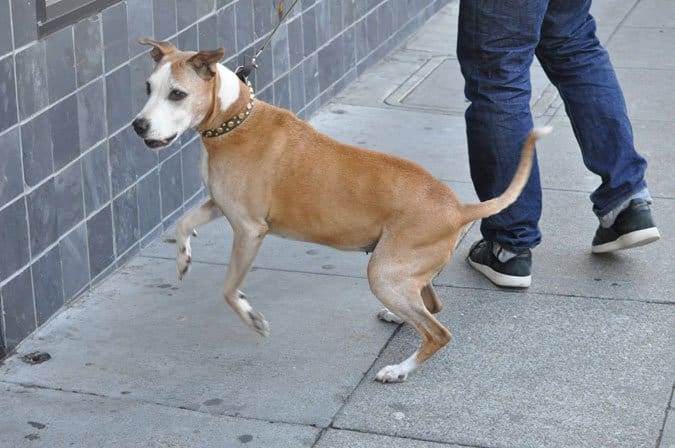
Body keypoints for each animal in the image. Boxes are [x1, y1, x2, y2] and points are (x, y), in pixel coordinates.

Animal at [133, 36, 556, 384]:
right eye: (149, 88)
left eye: (177, 94)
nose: (138, 126)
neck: (232, 118)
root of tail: (458, 208)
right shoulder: (222, 206)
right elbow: (184, 223)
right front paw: (183, 259)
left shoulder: (250, 229)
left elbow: (228, 289)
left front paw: (252, 318)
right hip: (400, 271)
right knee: (432, 305)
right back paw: (398, 317)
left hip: (382, 271)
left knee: (438, 332)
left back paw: (399, 370)